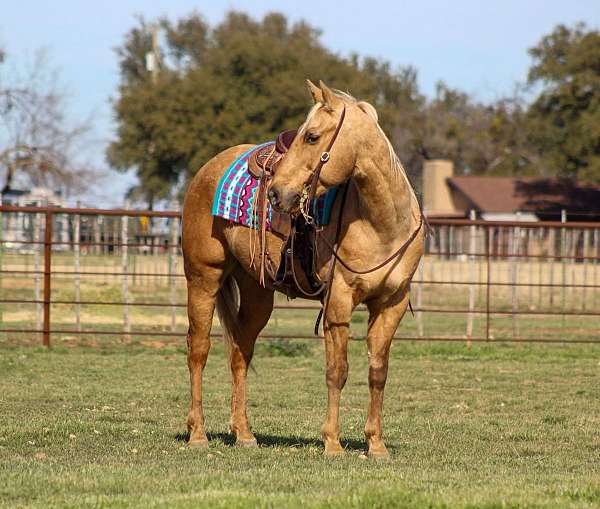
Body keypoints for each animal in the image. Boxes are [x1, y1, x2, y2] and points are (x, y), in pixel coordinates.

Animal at [180, 79, 424, 456]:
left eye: (312, 136)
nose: (277, 193)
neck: (383, 223)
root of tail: (208, 169)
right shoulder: (338, 302)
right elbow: (337, 371)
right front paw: (333, 443)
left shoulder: (392, 304)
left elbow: (378, 372)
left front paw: (376, 444)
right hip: (203, 278)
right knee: (199, 350)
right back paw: (198, 434)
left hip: (256, 292)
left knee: (240, 352)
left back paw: (244, 434)